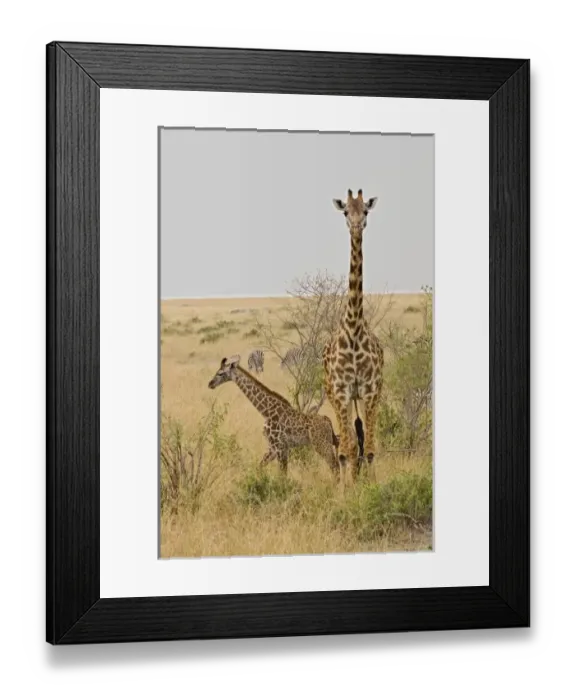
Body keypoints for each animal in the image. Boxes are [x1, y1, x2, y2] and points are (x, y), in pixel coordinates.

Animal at [208, 355, 340, 476]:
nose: (210, 384)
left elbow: (282, 475)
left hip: (322, 444)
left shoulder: (279, 447)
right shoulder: (274, 448)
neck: (266, 411)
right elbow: (260, 467)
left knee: (335, 467)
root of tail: (328, 421)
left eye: (220, 373)